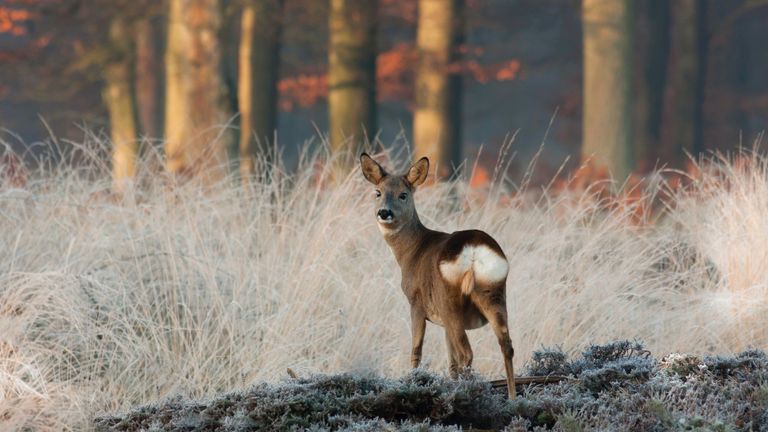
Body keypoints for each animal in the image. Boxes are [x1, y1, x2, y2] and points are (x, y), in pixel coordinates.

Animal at [358, 153, 516, 398]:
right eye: (378, 192)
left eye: (403, 194)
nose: (384, 212)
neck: (411, 251)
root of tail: (473, 251)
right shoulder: (442, 322)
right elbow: (451, 362)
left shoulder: (416, 301)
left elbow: (416, 350)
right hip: (494, 292)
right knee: (505, 345)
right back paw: (511, 397)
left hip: (449, 299)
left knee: (467, 352)